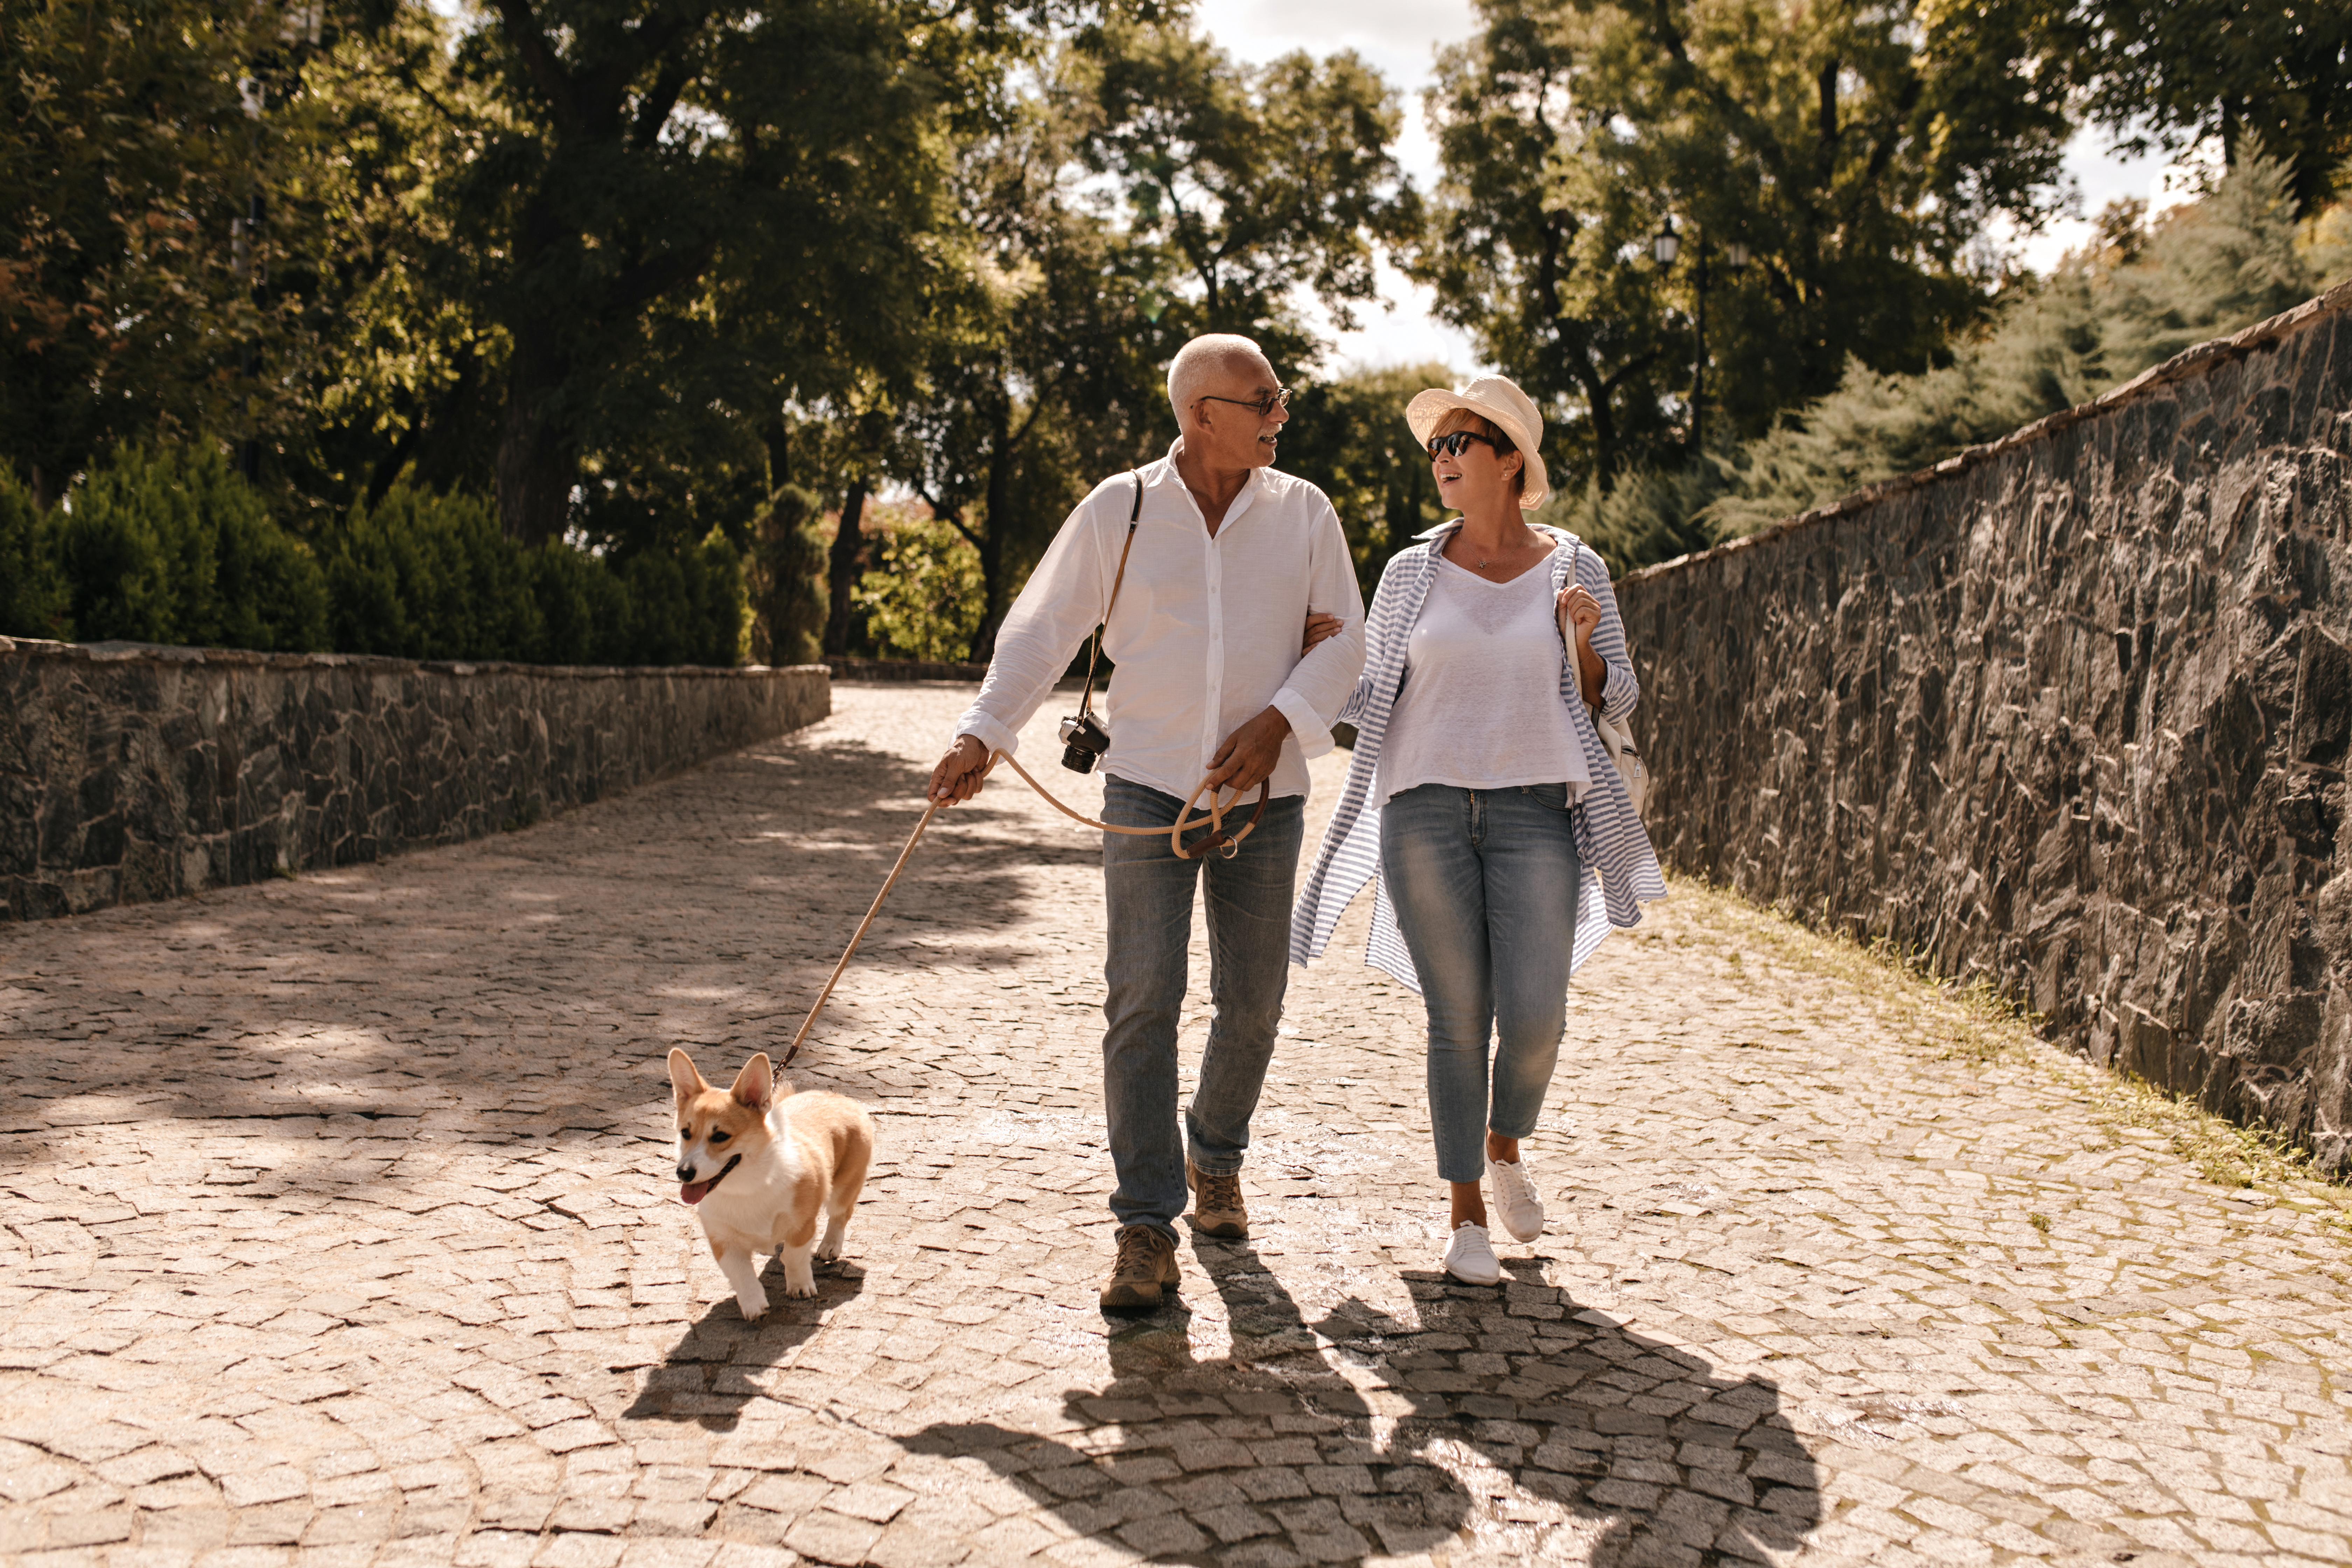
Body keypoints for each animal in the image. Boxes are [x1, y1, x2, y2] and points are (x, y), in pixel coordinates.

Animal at [668, 1048, 880, 1316]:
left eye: (720, 1136)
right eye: (685, 1133)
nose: (683, 1173)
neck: (747, 1187)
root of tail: (835, 1095)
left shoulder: (802, 1226)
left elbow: (795, 1256)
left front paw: (800, 1287)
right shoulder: (723, 1242)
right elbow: (742, 1274)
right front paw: (753, 1306)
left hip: (844, 1189)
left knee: (840, 1216)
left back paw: (829, 1246)